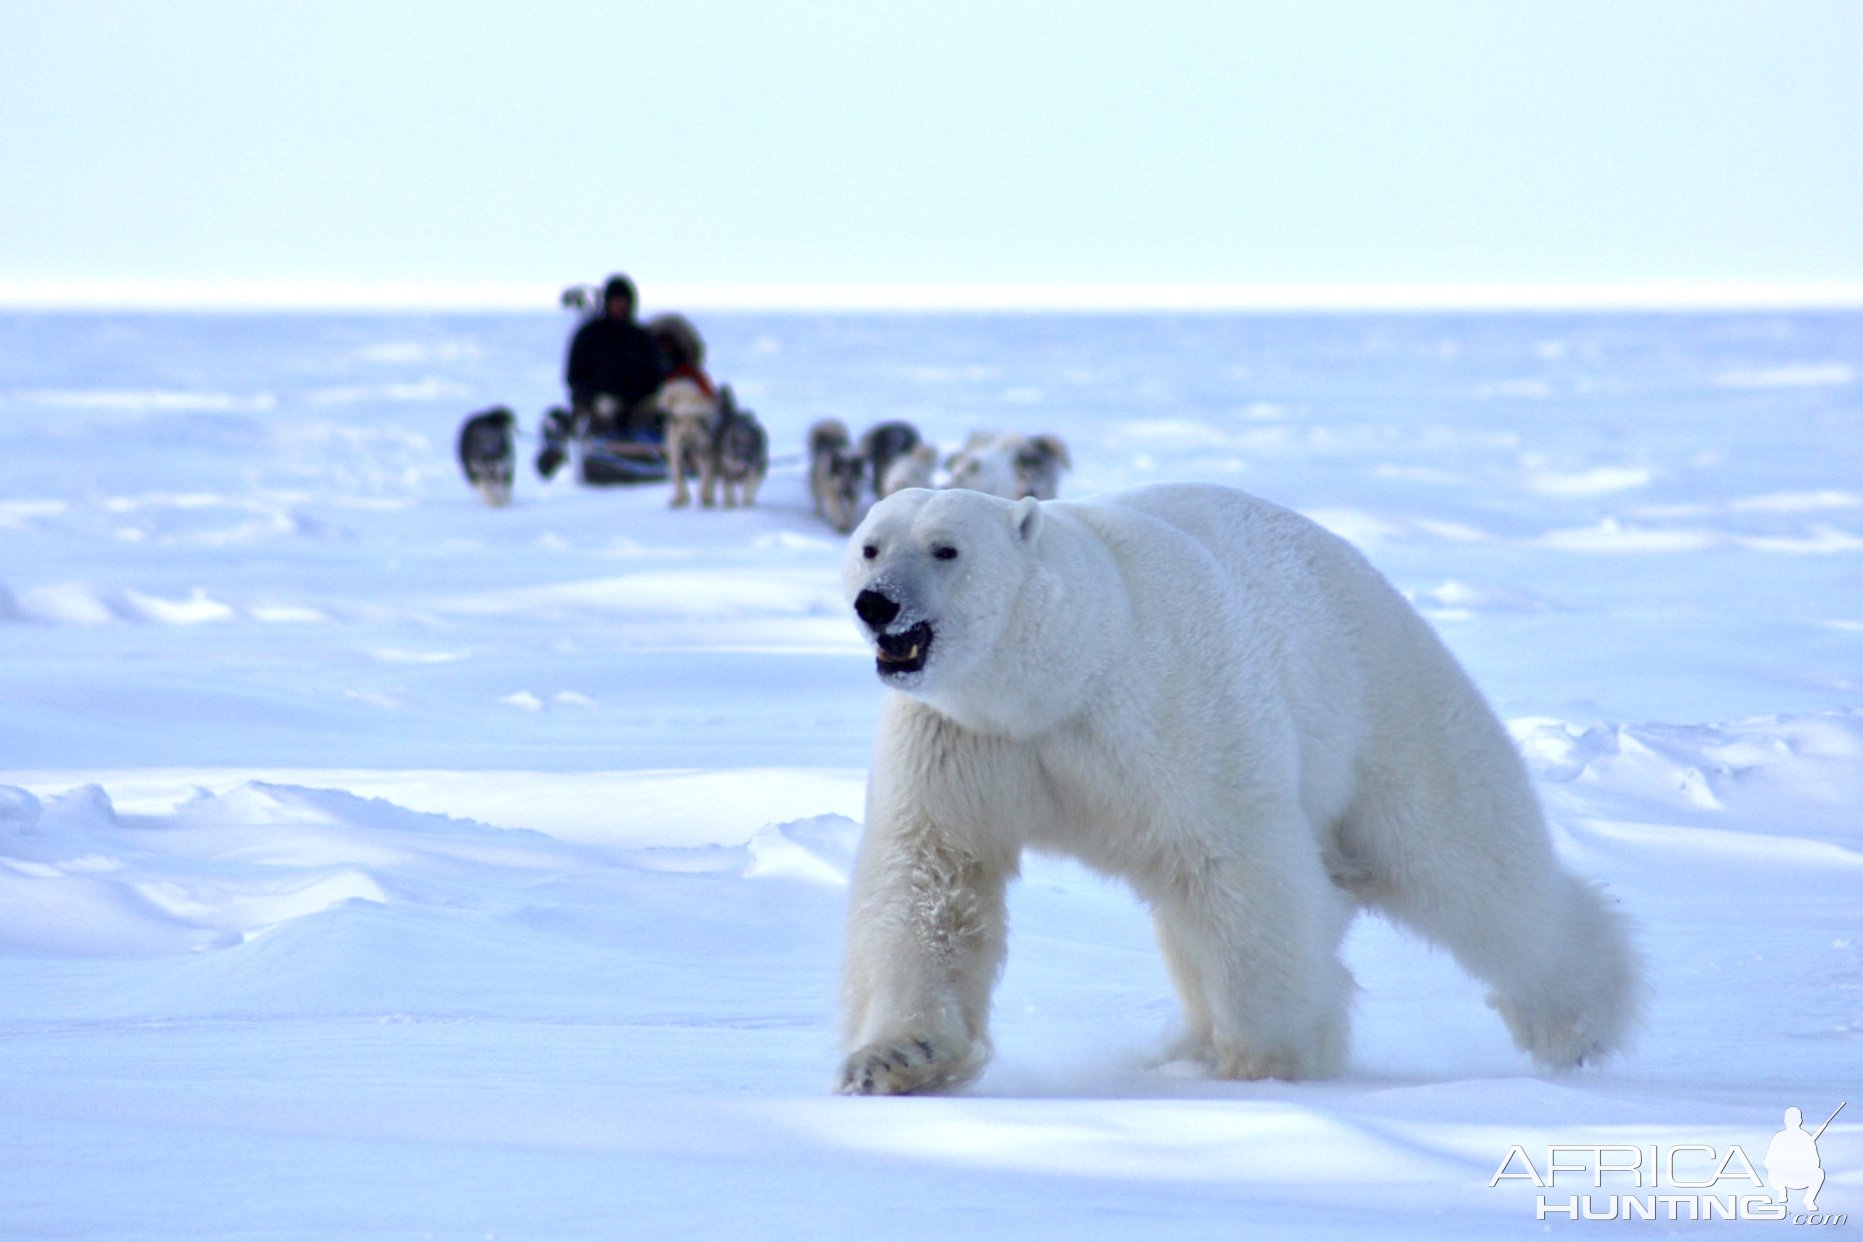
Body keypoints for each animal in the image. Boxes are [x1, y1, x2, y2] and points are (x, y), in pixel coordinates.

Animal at [838, 484, 1639, 1094]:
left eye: (946, 548)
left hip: (1380, 705)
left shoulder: (1165, 710)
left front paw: (1274, 1056)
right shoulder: (960, 741)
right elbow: (932, 876)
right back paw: (1181, 1047)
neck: (1067, 675)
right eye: (871, 545)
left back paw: (1579, 1024)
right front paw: (894, 1059)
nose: (875, 604)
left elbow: (1235, 865)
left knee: (1470, 866)